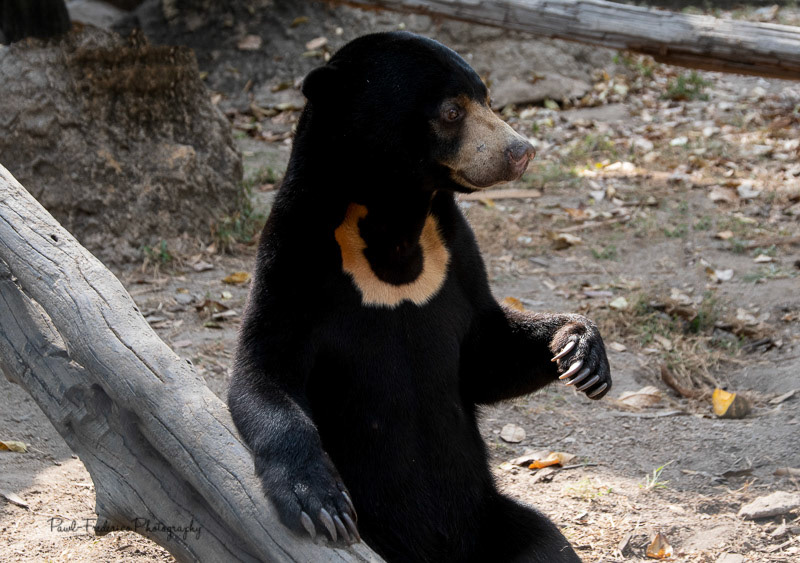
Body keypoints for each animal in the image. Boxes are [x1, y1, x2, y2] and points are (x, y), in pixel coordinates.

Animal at [228, 31, 611, 563]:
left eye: (487, 97)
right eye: (451, 110)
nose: (521, 151)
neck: (394, 216)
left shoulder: (455, 251)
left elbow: (487, 354)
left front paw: (581, 353)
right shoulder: (295, 253)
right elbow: (263, 371)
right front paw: (320, 505)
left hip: (492, 520)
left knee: (544, 542)